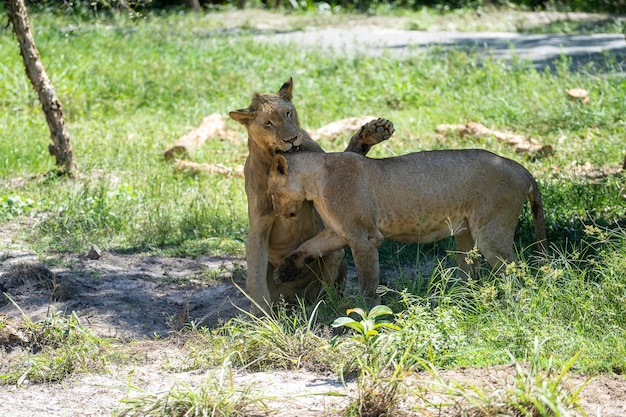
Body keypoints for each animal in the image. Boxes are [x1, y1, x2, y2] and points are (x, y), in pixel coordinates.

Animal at [229, 78, 392, 310]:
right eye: (268, 123)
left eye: (288, 113)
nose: (292, 138)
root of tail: (296, 300)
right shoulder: (259, 224)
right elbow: (255, 276)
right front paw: (260, 314)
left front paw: (375, 131)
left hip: (335, 255)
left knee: (327, 284)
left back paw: (323, 305)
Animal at [268, 148, 544, 304]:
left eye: (271, 192)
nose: (277, 211)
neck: (313, 182)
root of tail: (519, 167)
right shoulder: (339, 232)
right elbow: (309, 245)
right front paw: (285, 271)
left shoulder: (365, 237)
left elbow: (367, 280)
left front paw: (368, 311)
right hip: (465, 235)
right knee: (469, 273)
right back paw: (463, 300)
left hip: (491, 233)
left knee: (516, 272)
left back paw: (513, 303)